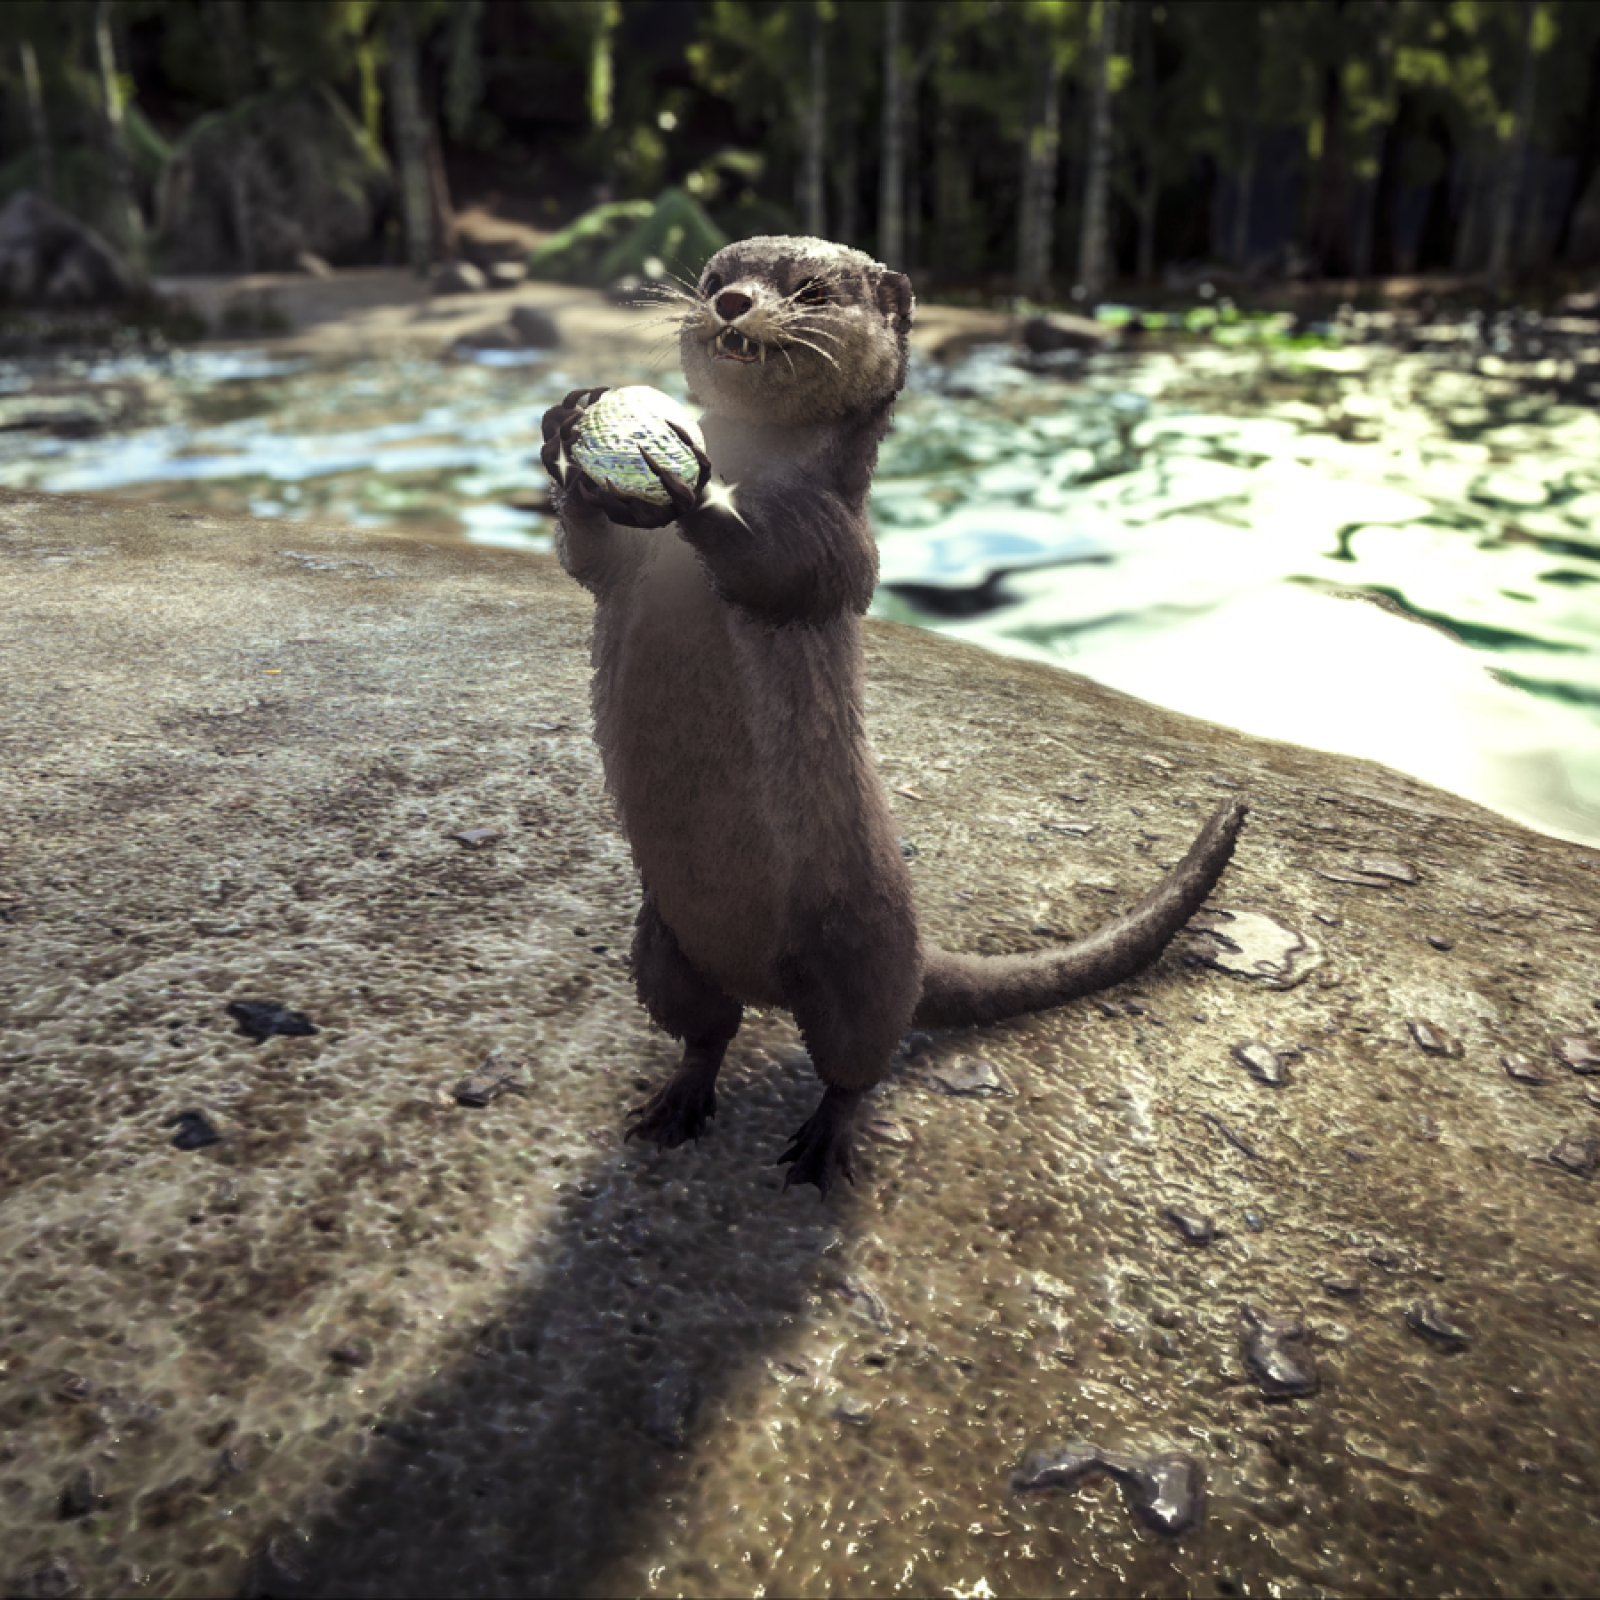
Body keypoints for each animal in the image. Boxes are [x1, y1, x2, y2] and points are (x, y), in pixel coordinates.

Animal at [541, 235, 1245, 1196]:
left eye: (808, 289)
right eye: (717, 272)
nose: (730, 302)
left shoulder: (839, 537)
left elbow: (781, 569)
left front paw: (689, 486)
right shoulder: (624, 568)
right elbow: (588, 556)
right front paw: (564, 432)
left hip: (859, 954)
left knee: (857, 1059)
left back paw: (822, 1149)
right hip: (663, 942)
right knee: (707, 1029)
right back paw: (678, 1102)